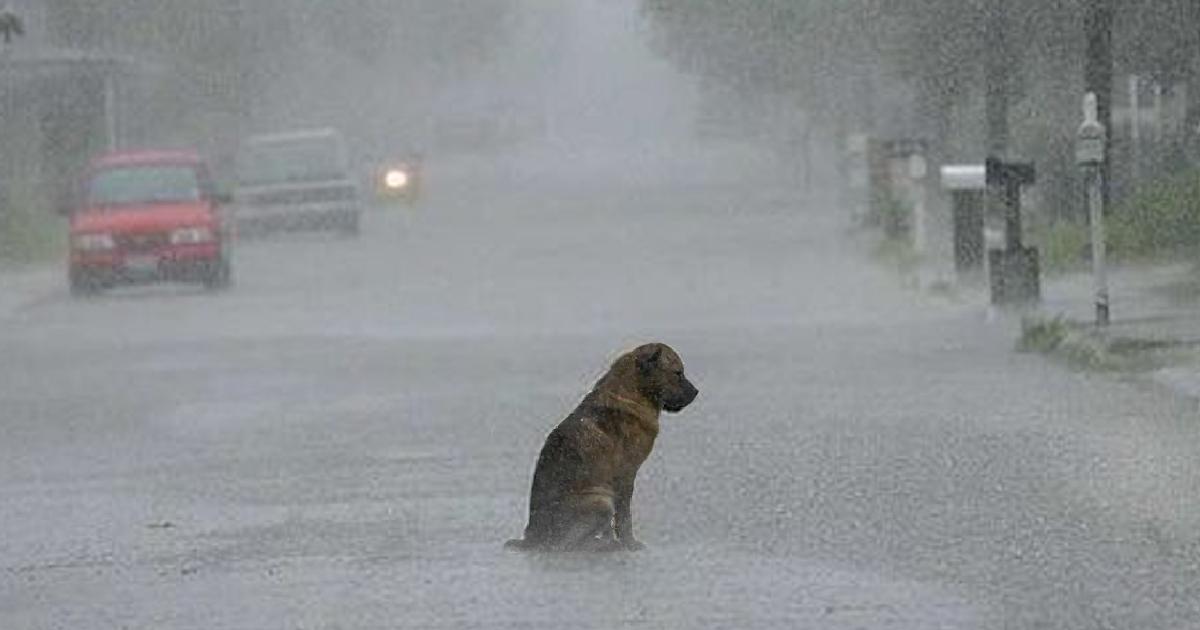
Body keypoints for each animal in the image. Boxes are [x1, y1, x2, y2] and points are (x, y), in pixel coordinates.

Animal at [504, 340, 696, 552]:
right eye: (677, 373)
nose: (696, 392)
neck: (632, 394)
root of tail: (532, 538)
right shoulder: (625, 476)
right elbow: (624, 517)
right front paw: (629, 543)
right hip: (601, 502)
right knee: (568, 544)